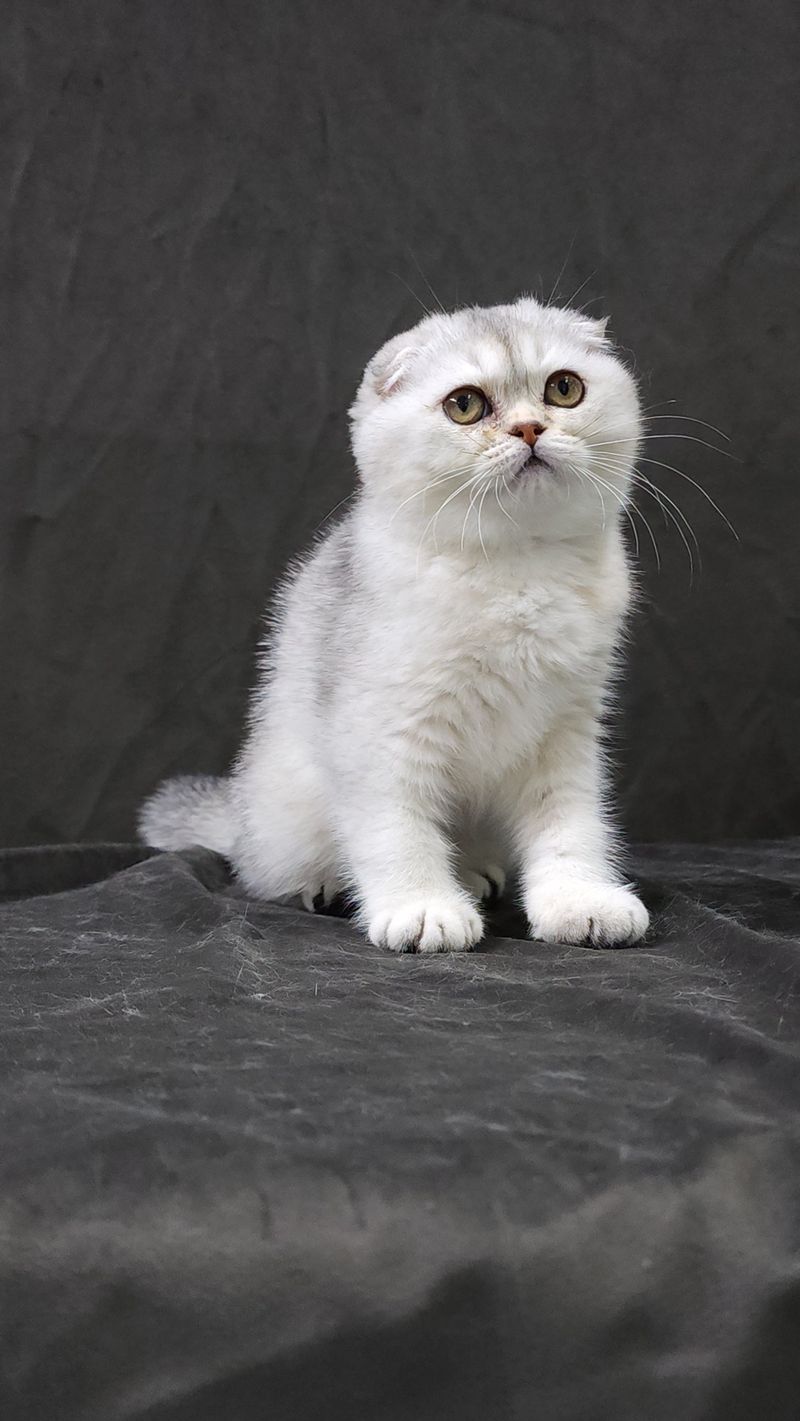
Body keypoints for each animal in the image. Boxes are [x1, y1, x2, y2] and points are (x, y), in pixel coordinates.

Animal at [139, 291, 650, 954]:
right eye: (465, 404)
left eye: (564, 389)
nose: (530, 428)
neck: (517, 568)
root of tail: (241, 818)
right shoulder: (383, 729)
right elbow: (397, 826)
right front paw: (422, 909)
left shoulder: (566, 732)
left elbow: (570, 821)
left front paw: (579, 900)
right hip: (288, 811)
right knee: (272, 871)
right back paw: (326, 886)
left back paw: (473, 873)